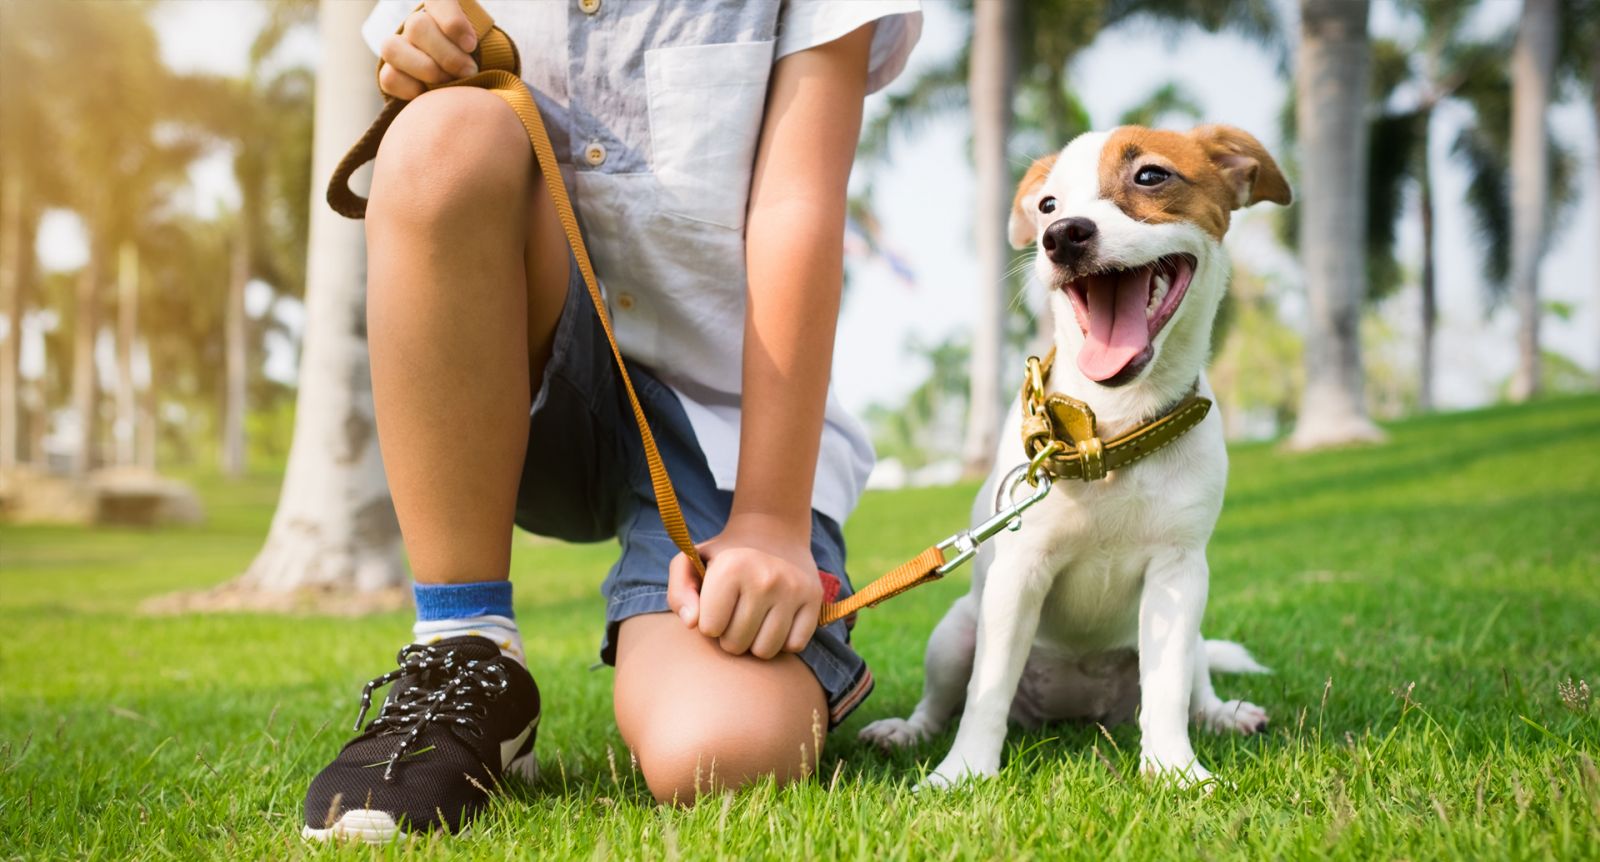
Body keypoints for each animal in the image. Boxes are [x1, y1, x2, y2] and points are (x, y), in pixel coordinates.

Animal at [857, 123, 1292, 790]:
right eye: (1046, 205)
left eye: (1151, 176)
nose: (1061, 236)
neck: (1108, 432)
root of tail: (1074, 710)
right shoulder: (1018, 573)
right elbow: (985, 694)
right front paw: (962, 774)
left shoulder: (1178, 576)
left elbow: (1167, 692)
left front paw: (1175, 771)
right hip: (955, 632)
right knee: (943, 699)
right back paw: (907, 731)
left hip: (1189, 633)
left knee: (1195, 684)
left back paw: (1224, 714)